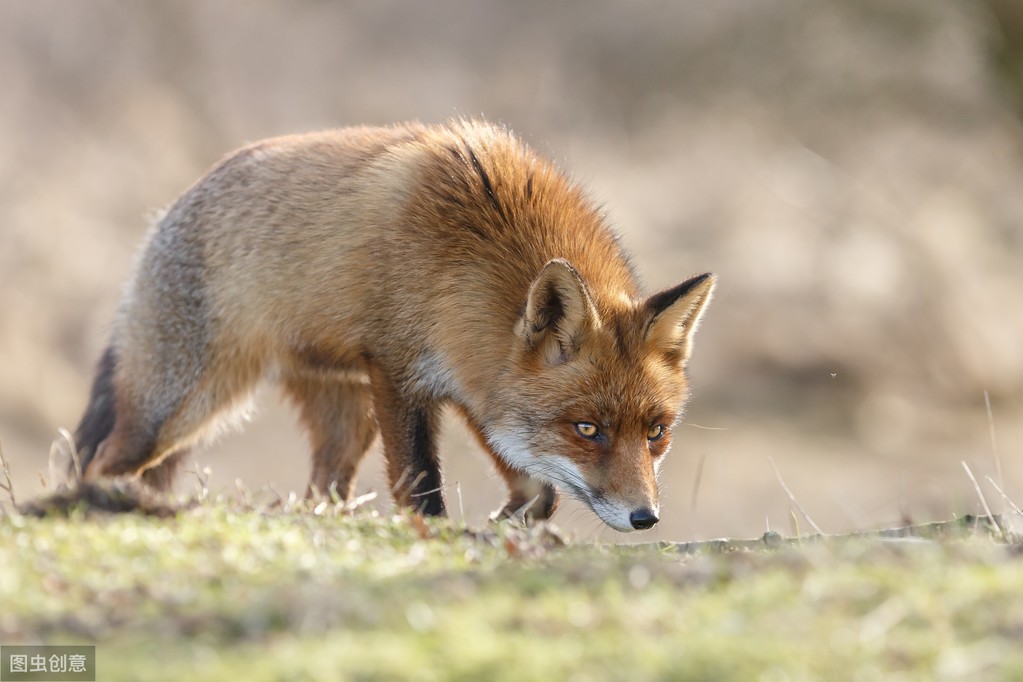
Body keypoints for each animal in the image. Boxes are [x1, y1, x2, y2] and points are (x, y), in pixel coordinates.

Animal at [74, 118, 712, 531]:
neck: (469, 252)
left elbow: (539, 494)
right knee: (104, 459)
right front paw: (442, 538)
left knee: (323, 488)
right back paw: (102, 504)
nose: (645, 517)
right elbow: (422, 487)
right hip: (179, 407)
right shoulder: (399, 371)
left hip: (346, 415)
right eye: (587, 429)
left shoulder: (476, 382)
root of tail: (168, 213)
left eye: (656, 432)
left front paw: (504, 529)